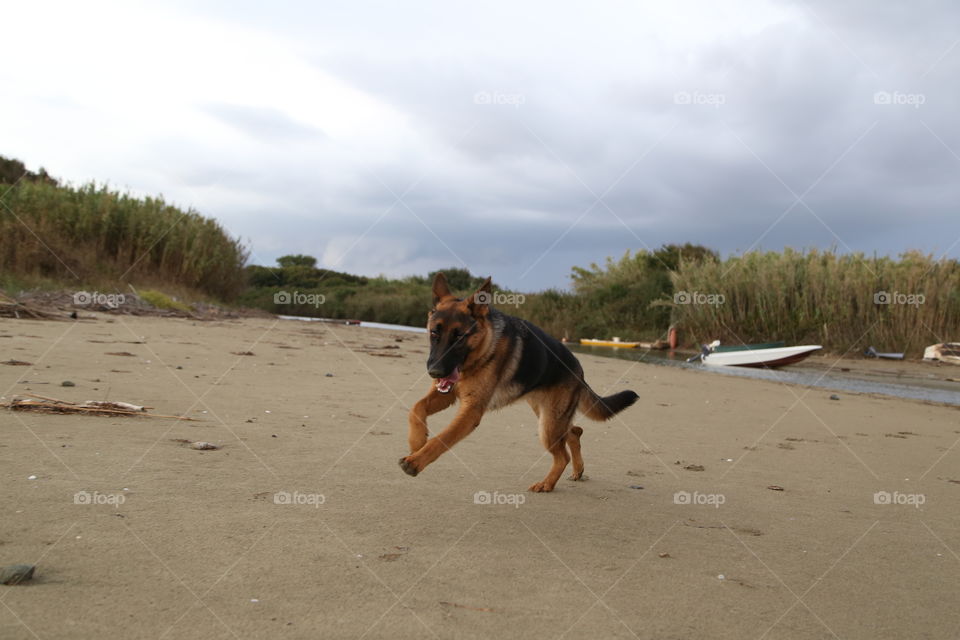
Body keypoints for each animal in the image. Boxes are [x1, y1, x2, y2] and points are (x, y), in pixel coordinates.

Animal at [402, 272, 640, 492]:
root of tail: (579, 370)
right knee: (574, 432)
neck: (482, 350)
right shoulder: (446, 395)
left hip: (548, 425)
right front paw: (417, 442)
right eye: (434, 333)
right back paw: (577, 470)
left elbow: (442, 438)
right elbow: (415, 408)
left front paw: (416, 461)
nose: (434, 371)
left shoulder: (470, 412)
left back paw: (547, 484)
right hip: (547, 416)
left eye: (459, 337)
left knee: (563, 455)